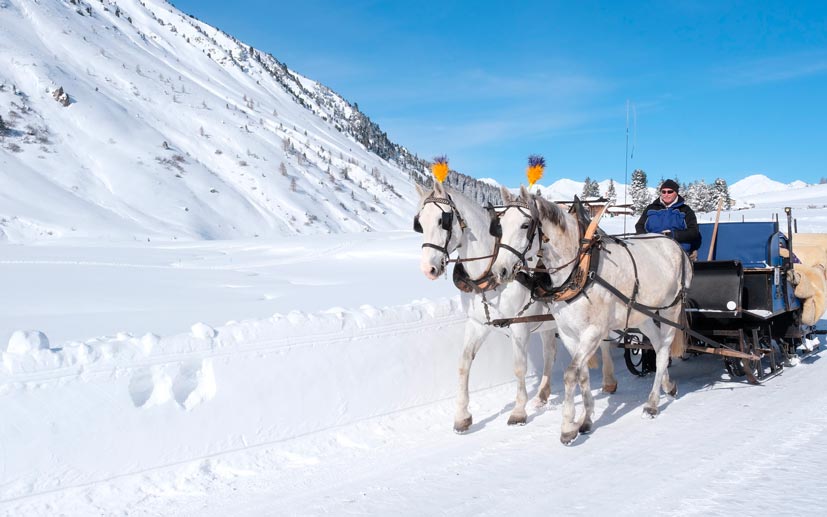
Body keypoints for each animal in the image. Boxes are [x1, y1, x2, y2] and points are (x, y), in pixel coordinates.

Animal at [418, 181, 616, 432]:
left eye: (441, 220)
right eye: (420, 221)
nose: (428, 269)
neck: (489, 273)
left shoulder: (519, 326)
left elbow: (519, 367)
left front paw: (518, 412)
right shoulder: (477, 324)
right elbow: (463, 364)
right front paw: (462, 415)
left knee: (605, 343)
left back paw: (609, 381)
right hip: (550, 323)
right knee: (550, 352)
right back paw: (542, 395)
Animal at [492, 187, 692, 446]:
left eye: (525, 225)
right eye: (500, 225)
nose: (500, 271)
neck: (580, 268)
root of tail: (673, 244)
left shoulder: (593, 332)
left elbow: (570, 375)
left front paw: (568, 427)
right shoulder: (569, 334)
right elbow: (582, 374)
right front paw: (585, 420)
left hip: (670, 309)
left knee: (664, 351)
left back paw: (652, 403)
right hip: (643, 314)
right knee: (658, 347)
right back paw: (669, 386)